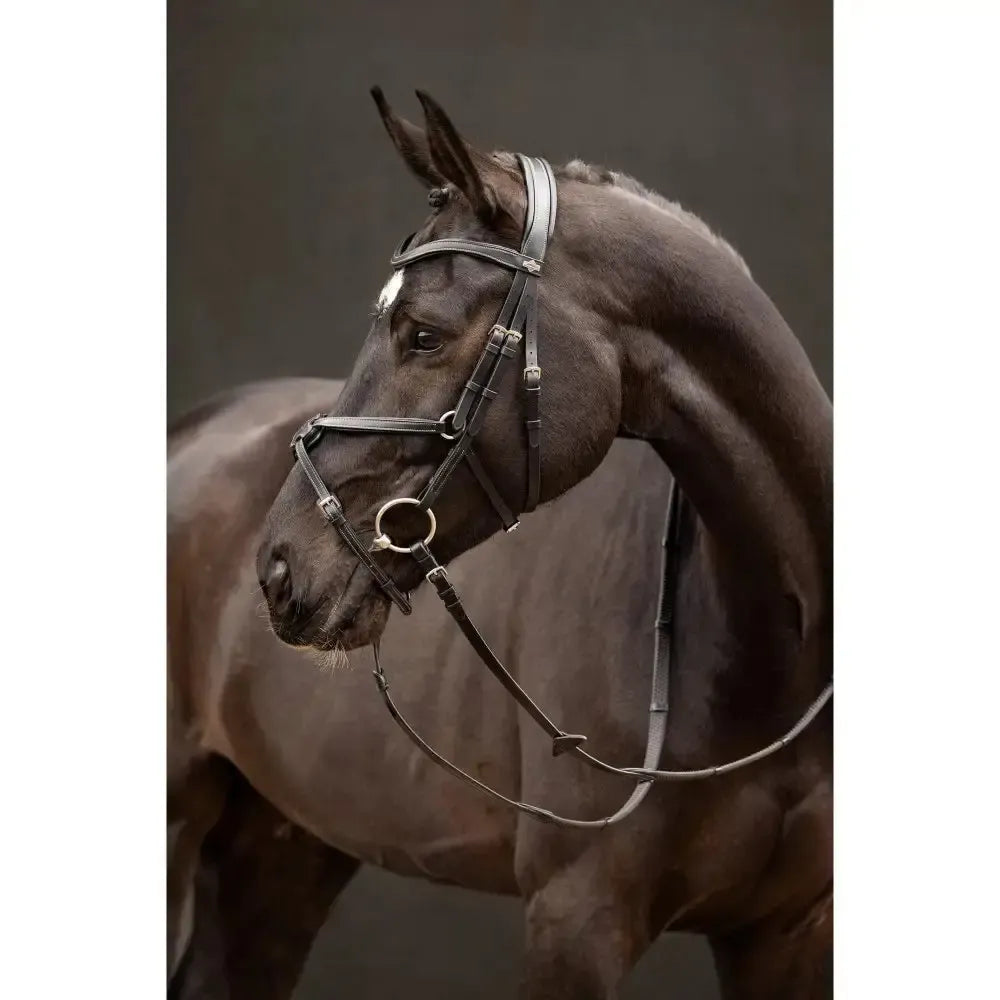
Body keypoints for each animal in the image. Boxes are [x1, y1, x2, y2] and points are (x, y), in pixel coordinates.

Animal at [169, 90, 832, 999]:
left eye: (422, 333)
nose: (278, 568)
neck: (768, 655)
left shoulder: (788, 933)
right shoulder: (575, 918)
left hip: (280, 845)